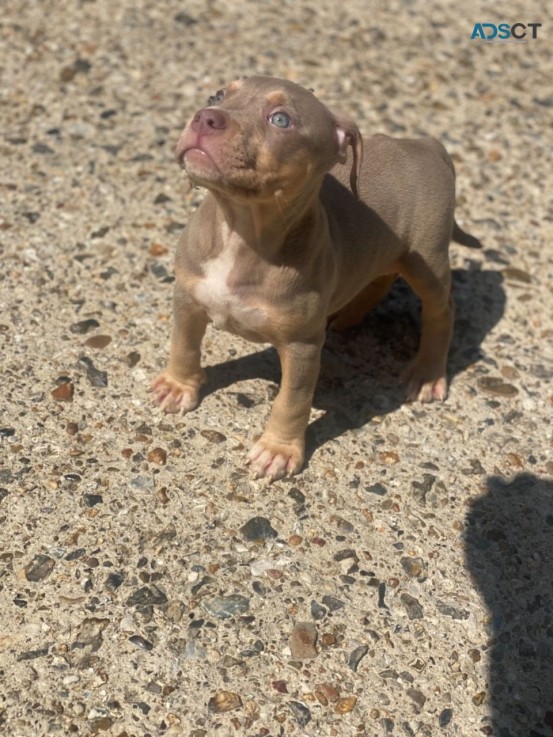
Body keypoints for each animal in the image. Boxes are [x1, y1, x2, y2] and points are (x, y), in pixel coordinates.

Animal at [151, 73, 478, 478]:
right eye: (218, 95)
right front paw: (177, 386)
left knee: (441, 309)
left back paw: (428, 374)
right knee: (378, 277)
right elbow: (183, 344)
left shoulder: (302, 346)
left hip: (427, 259)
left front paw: (278, 449)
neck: (240, 230)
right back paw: (348, 316)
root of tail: (427, 145)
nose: (205, 117)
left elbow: (292, 400)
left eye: (281, 120)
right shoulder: (188, 296)